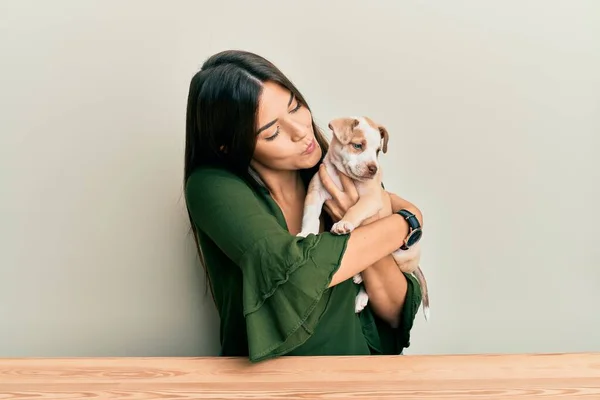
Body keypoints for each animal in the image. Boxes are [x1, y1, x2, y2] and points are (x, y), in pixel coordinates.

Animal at [296, 115, 428, 318]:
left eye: (378, 151)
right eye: (358, 145)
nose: (373, 169)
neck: (340, 174)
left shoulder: (370, 199)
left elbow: (354, 209)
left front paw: (343, 224)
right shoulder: (315, 192)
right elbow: (310, 215)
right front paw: (305, 233)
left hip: (398, 256)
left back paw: (360, 289)